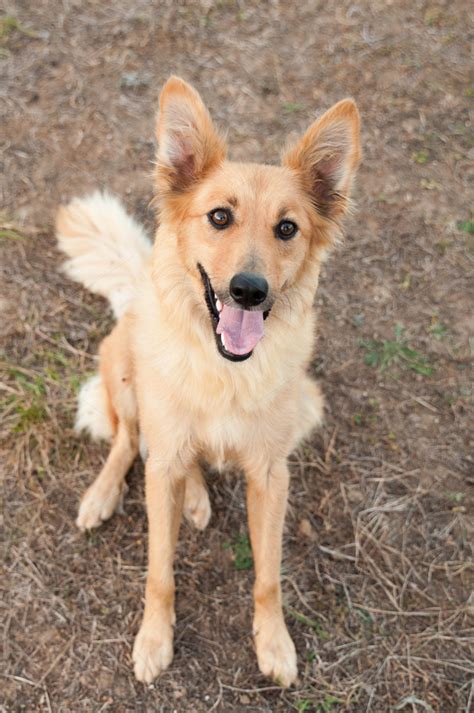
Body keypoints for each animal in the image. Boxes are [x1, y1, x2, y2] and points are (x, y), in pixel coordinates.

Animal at [56, 76, 360, 684]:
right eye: (219, 217)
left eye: (287, 228)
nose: (248, 290)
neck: (226, 371)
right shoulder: (164, 466)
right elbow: (159, 570)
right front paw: (154, 639)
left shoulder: (270, 476)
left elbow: (268, 576)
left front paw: (274, 643)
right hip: (124, 372)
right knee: (130, 442)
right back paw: (104, 496)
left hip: (307, 403)